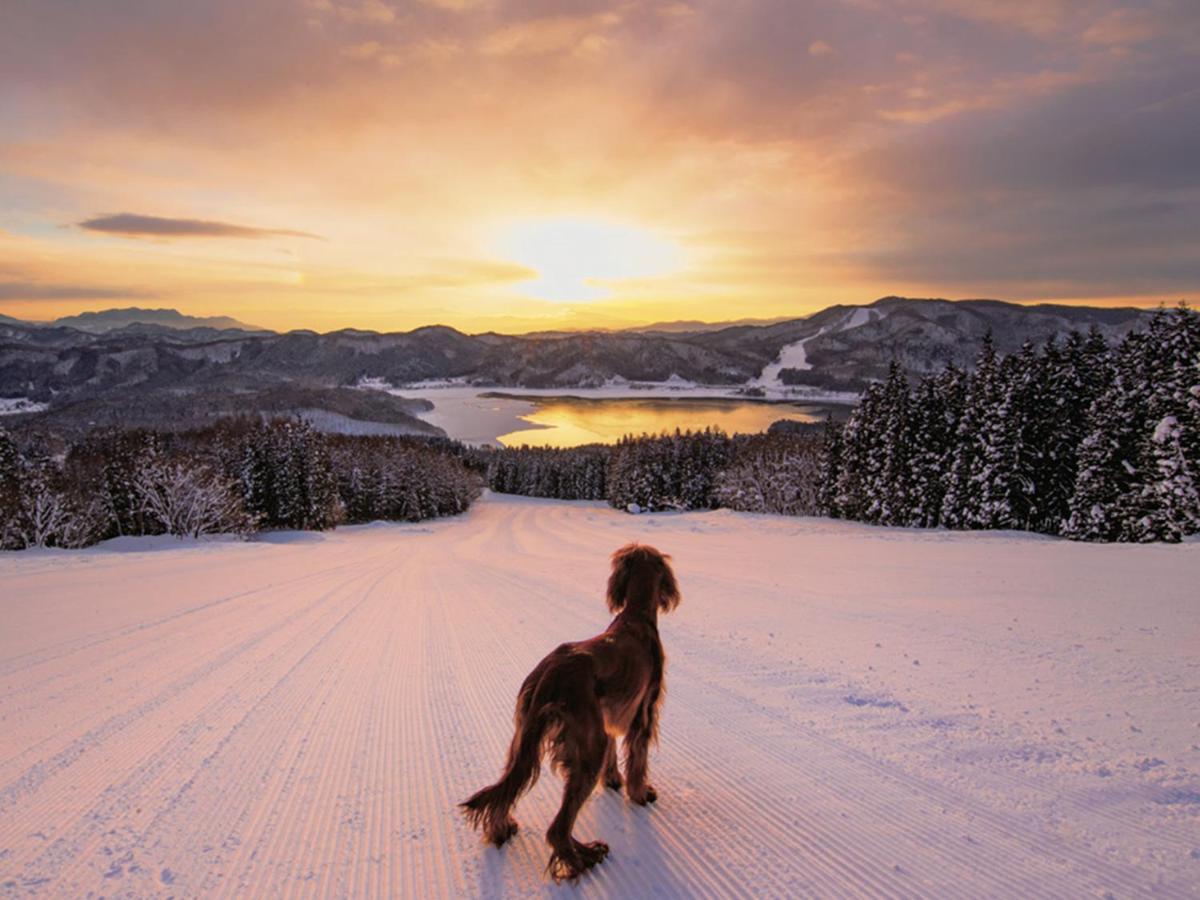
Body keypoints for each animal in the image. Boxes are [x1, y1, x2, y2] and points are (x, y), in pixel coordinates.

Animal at [458, 547, 681, 883]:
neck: (636, 616)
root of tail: (550, 673)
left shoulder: (609, 715)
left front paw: (613, 781)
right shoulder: (644, 711)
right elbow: (638, 760)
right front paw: (640, 794)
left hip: (525, 736)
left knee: (509, 786)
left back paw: (503, 829)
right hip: (588, 747)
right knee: (557, 828)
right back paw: (583, 859)